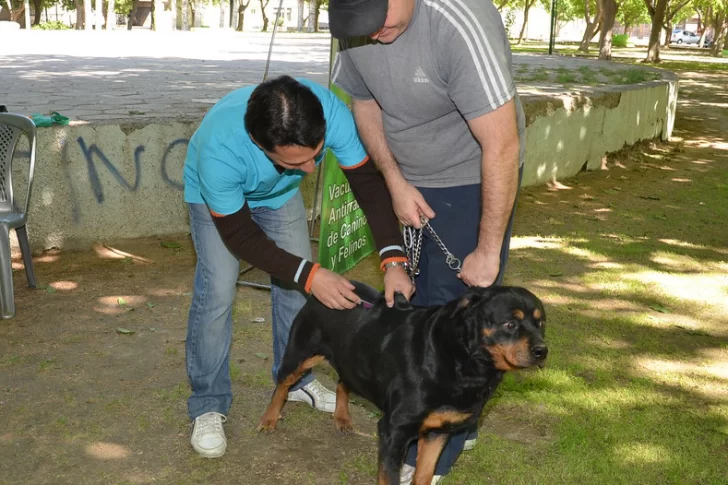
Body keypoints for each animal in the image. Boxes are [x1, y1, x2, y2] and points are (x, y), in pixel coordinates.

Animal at [256, 280, 544, 484]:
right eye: (510, 324)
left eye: (541, 323)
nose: (542, 350)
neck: (462, 361)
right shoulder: (394, 431)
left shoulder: (438, 432)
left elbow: (424, 475)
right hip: (300, 353)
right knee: (282, 384)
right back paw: (269, 419)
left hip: (352, 358)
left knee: (342, 381)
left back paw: (342, 417)